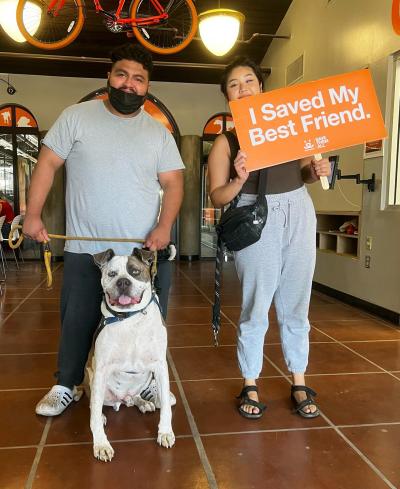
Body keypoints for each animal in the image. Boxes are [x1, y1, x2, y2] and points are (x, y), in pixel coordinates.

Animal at [87, 248, 175, 462]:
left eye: (135, 272)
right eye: (112, 274)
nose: (123, 282)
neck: (131, 319)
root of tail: (121, 400)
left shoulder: (160, 366)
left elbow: (166, 407)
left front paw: (165, 432)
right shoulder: (100, 370)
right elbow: (94, 413)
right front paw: (101, 444)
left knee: (133, 397)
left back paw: (142, 402)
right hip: (91, 377)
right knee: (94, 405)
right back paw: (102, 414)